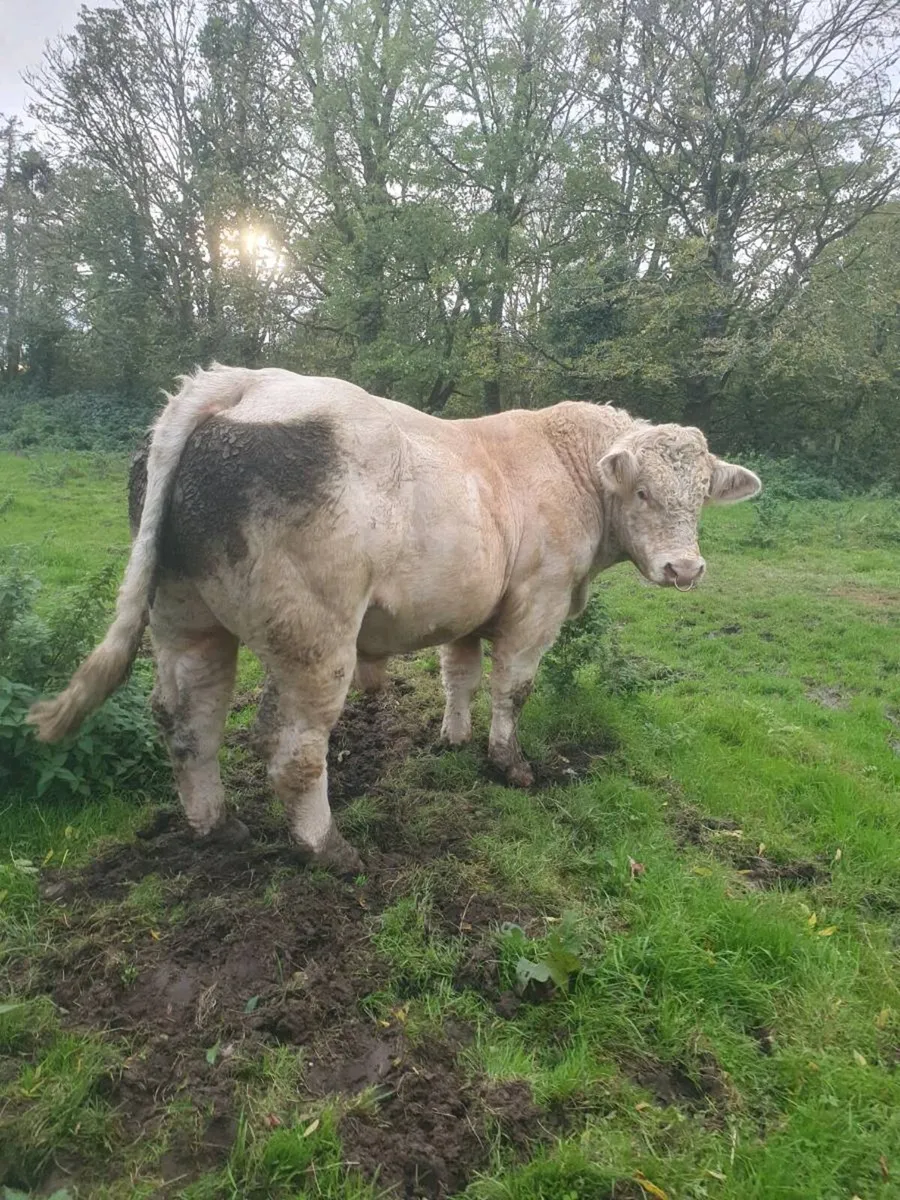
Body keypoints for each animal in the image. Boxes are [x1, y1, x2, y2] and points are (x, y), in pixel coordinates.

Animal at [28, 365, 761, 874]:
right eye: (642, 492)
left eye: (701, 495)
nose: (685, 569)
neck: (568, 471)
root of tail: (235, 383)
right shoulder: (539, 602)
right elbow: (513, 689)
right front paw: (509, 765)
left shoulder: (469, 607)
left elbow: (459, 676)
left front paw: (453, 740)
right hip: (315, 635)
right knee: (293, 749)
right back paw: (328, 849)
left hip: (185, 618)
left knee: (188, 726)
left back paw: (217, 827)